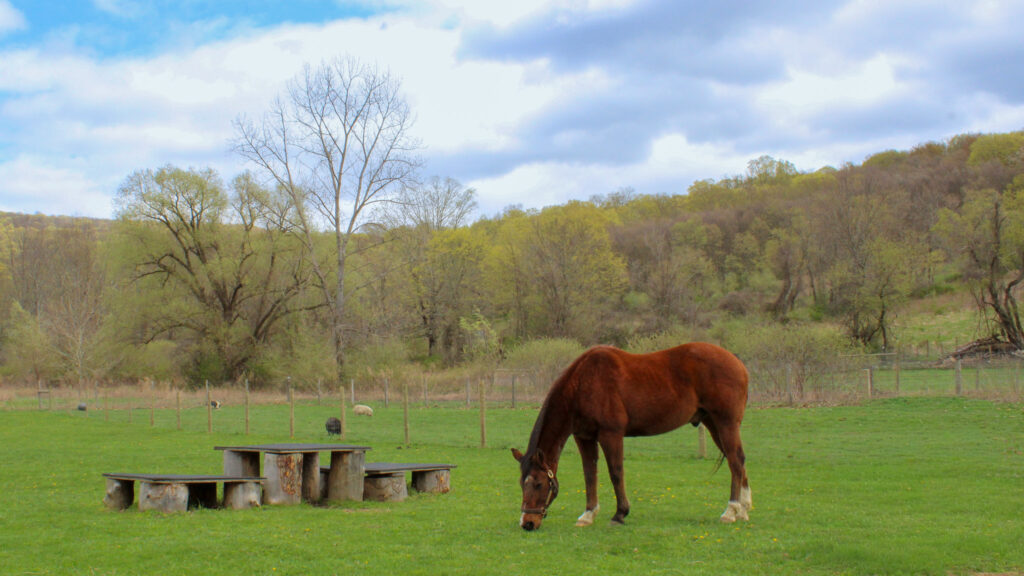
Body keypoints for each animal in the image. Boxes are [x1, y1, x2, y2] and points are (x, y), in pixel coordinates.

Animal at [512, 342, 751, 531]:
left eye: (539, 484)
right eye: (522, 484)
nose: (527, 523)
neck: (583, 383)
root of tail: (738, 363)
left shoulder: (611, 434)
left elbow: (616, 472)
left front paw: (620, 514)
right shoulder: (584, 437)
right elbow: (590, 474)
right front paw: (588, 514)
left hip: (726, 423)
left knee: (735, 461)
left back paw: (731, 511)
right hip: (713, 424)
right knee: (737, 460)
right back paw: (743, 509)